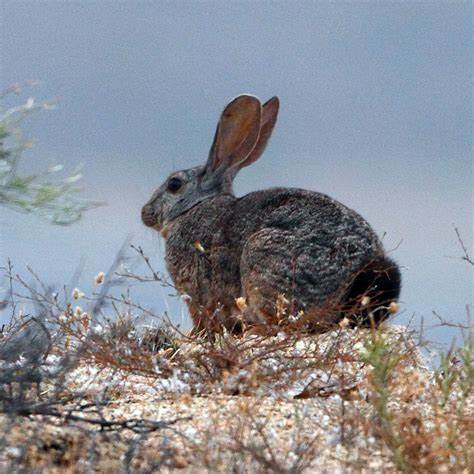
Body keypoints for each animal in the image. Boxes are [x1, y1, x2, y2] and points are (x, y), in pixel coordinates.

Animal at [141, 95, 400, 334]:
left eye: (174, 184)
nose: (145, 213)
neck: (195, 206)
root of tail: (359, 275)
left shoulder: (196, 295)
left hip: (264, 258)